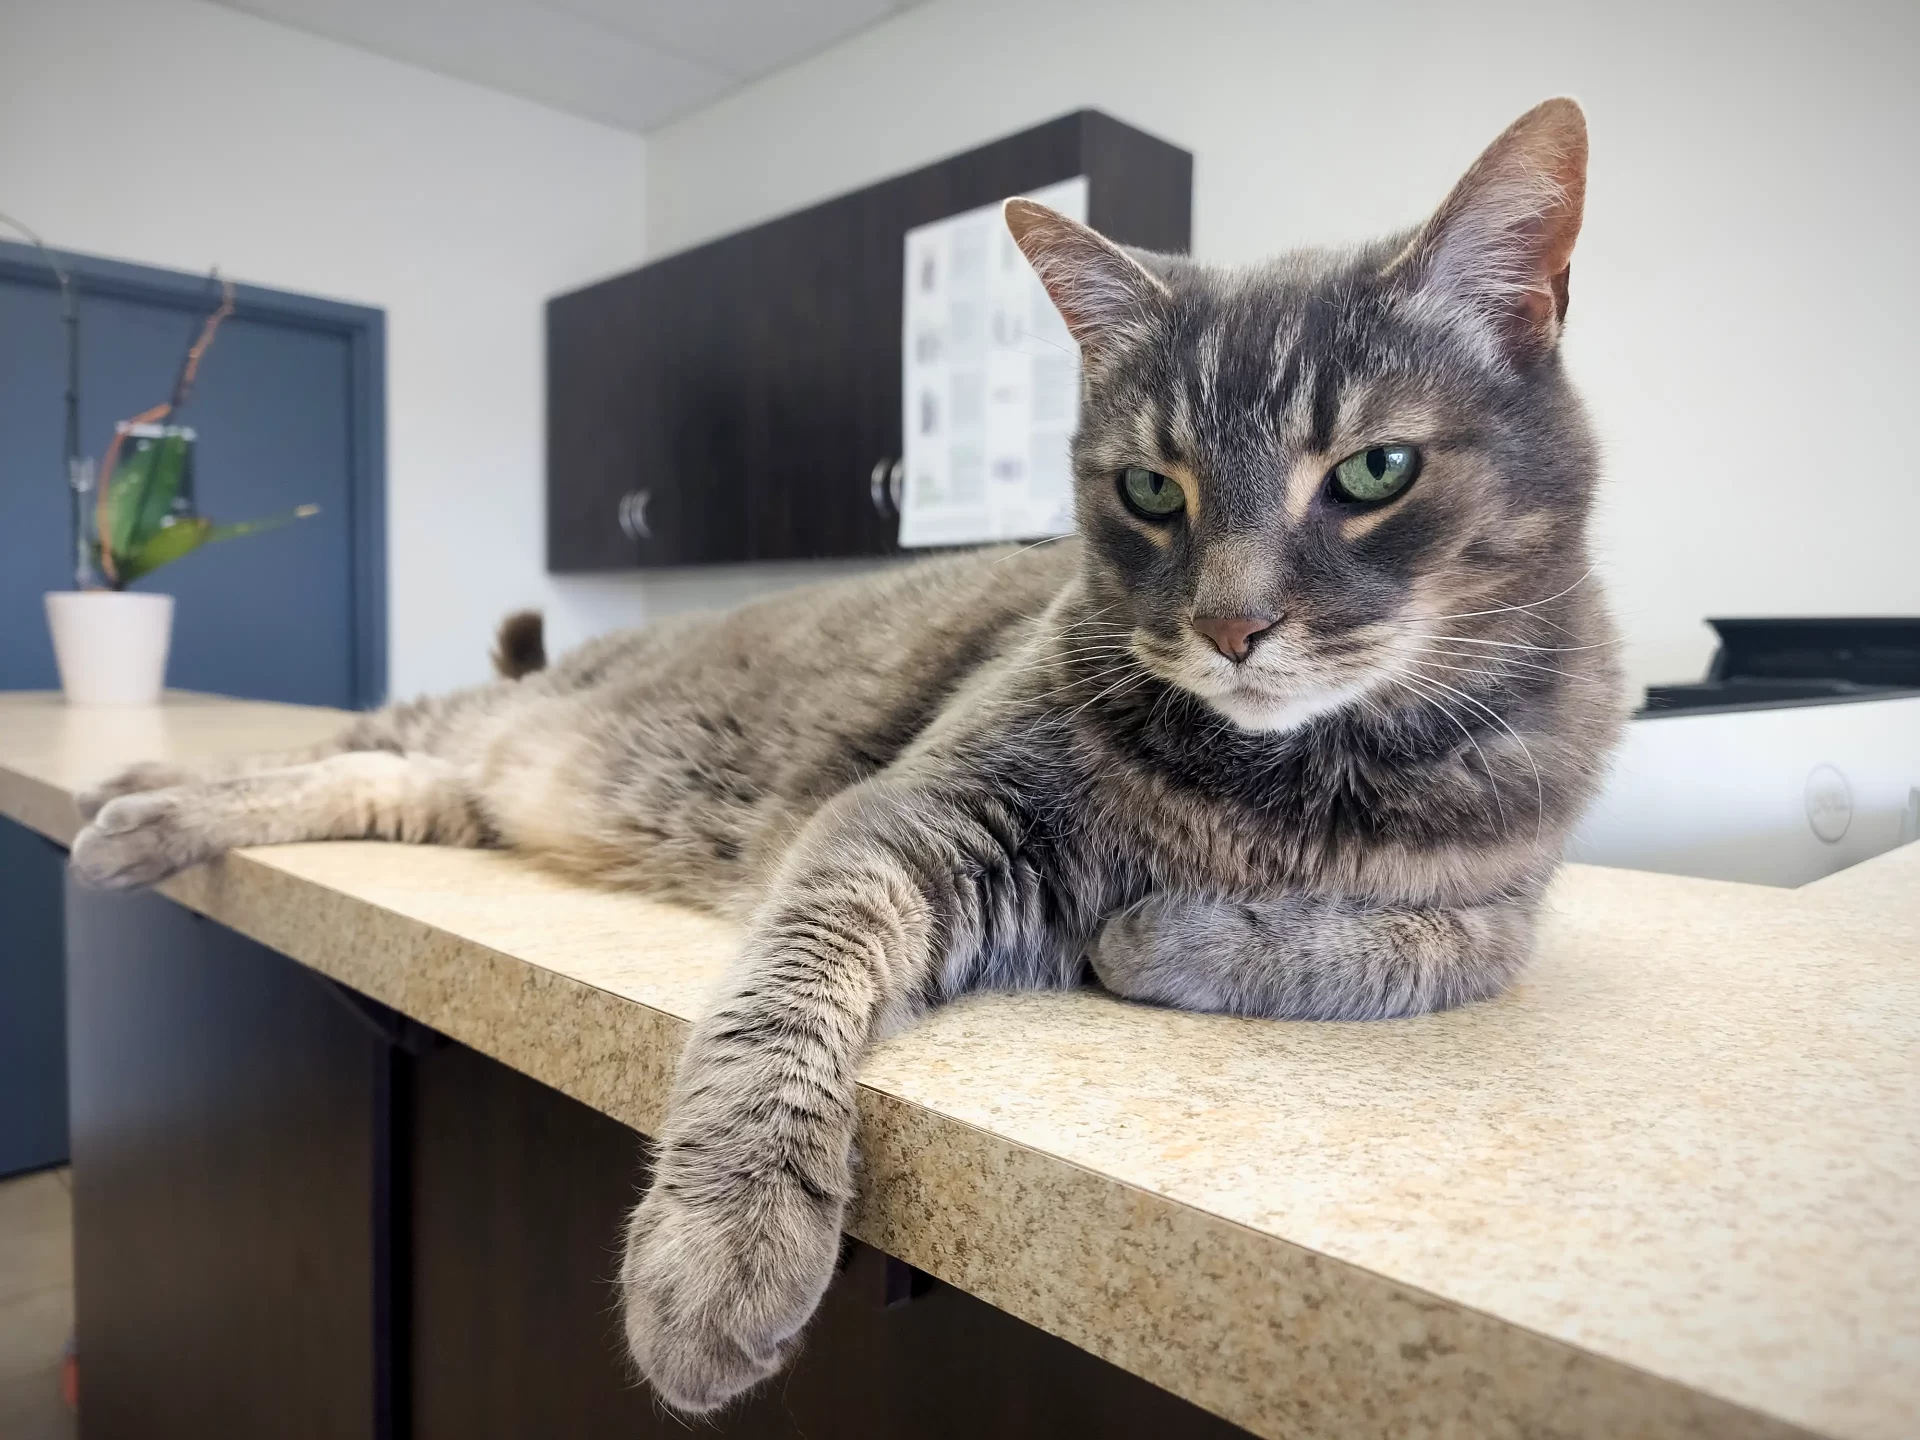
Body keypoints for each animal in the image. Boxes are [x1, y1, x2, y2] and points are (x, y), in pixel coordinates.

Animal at [67, 101, 1620, 1420]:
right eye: (1150, 489)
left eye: (1371, 473)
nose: (1232, 626)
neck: (1284, 785)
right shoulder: (908, 820)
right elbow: (777, 1006)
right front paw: (717, 1245)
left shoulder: (1498, 914)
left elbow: (1380, 951)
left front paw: (1163, 935)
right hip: (473, 731)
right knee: (344, 741)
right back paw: (118, 801)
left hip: (456, 795)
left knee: (354, 783)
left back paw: (136, 812)